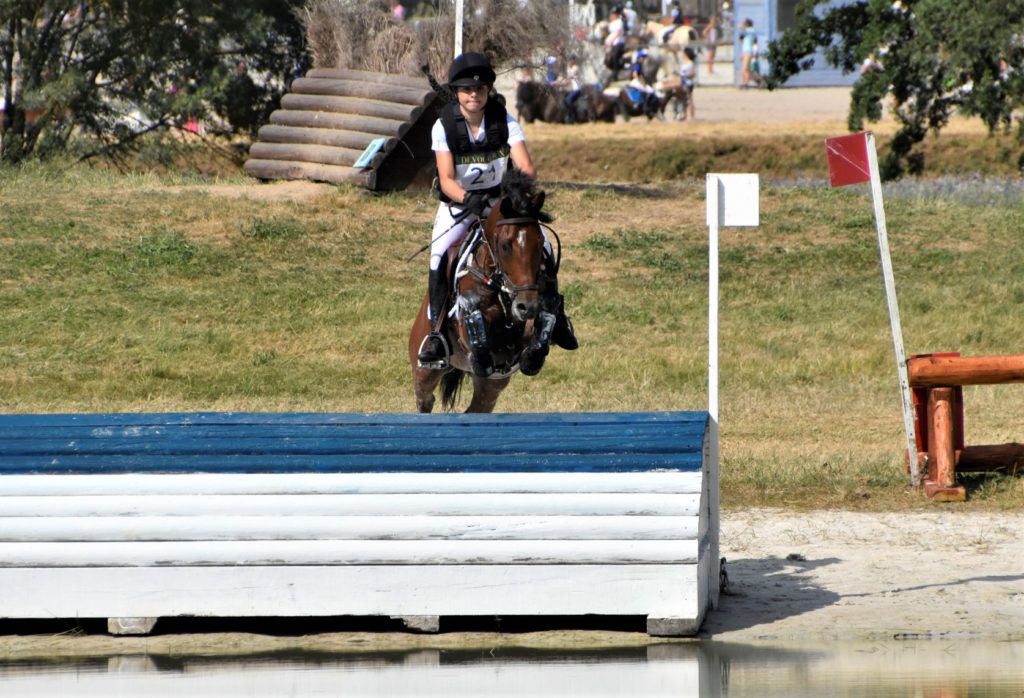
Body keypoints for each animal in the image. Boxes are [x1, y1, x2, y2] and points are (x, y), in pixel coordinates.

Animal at [407, 165, 557, 411]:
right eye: (505, 246)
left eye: (538, 243)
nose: (526, 306)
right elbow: (475, 321)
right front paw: (481, 351)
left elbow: (542, 320)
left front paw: (532, 355)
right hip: (425, 370)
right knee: (425, 399)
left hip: (491, 388)